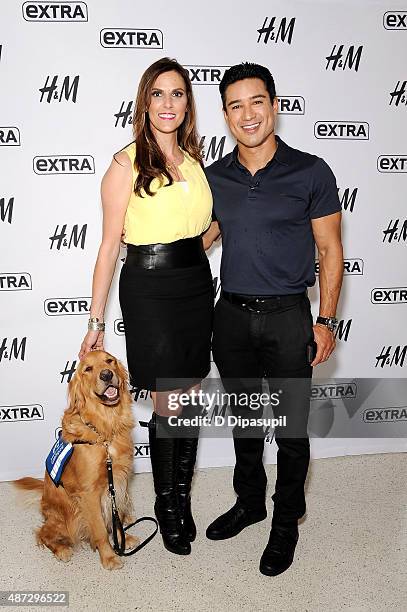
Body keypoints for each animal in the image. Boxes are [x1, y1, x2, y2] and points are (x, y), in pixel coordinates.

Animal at [14, 352, 139, 572]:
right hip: (67, 516)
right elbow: (100, 530)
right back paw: (62, 550)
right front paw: (109, 556)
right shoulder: (89, 493)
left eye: (109, 361)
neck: (105, 427)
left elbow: (116, 516)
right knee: (43, 533)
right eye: (88, 369)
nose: (107, 375)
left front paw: (123, 538)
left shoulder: (118, 480)